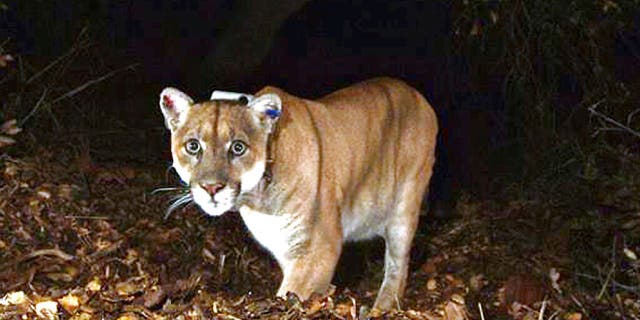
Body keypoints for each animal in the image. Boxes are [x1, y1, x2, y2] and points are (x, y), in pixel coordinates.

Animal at [160, 78, 440, 310]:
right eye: (193, 146)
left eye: (238, 148)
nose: (211, 188)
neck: (258, 200)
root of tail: (418, 95)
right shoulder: (286, 248)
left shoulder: (319, 248)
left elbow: (291, 294)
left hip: (405, 206)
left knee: (398, 265)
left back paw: (382, 307)